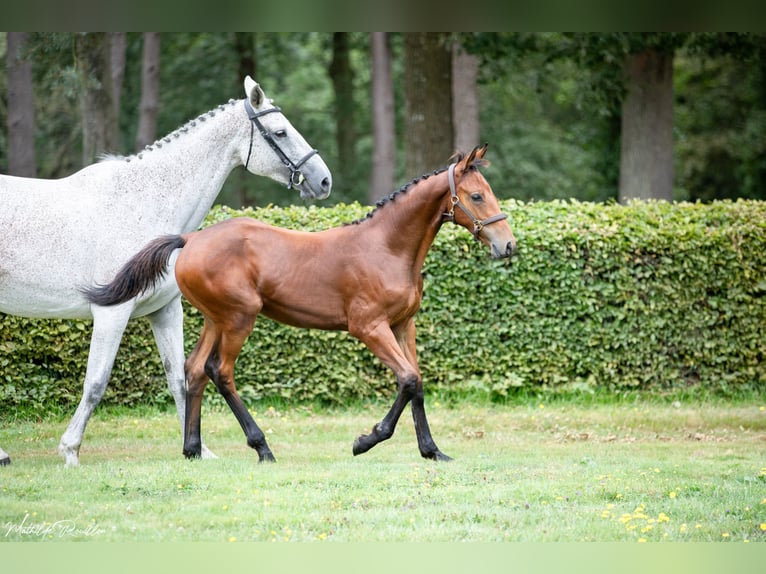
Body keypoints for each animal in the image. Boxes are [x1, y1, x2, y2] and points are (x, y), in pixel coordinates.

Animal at [1, 76, 334, 468]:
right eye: (280, 132)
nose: (324, 180)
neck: (145, 200)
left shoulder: (165, 311)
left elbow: (180, 378)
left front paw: (200, 450)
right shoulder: (112, 313)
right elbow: (96, 382)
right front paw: (70, 450)